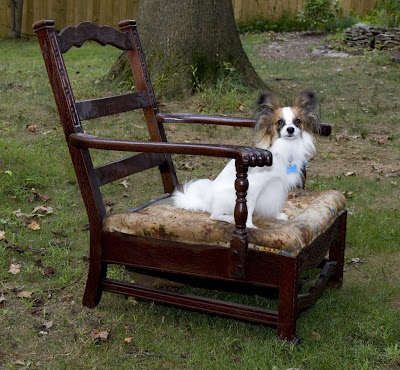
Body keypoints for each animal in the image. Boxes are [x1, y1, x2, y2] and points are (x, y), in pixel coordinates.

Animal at [173, 89, 320, 228]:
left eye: (297, 121)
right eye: (280, 122)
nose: (290, 129)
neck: (285, 148)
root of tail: (207, 202)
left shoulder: (279, 185)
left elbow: (276, 203)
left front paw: (277, 216)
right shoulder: (254, 188)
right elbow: (249, 209)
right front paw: (249, 226)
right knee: (214, 215)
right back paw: (231, 219)